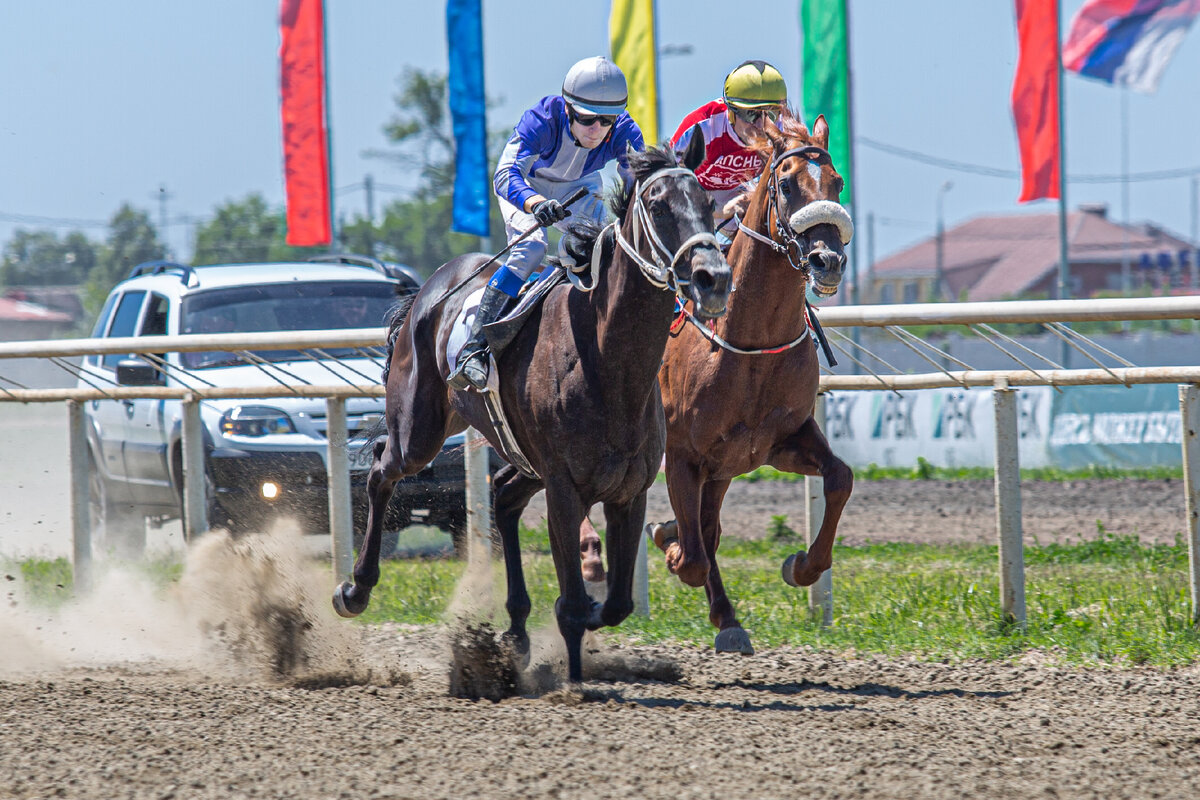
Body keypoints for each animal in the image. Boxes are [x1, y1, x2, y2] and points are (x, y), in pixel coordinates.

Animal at [331, 140, 729, 681]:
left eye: (708, 204)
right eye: (660, 206)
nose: (714, 278)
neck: (605, 361)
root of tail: (428, 291)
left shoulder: (628, 492)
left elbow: (616, 603)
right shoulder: (564, 489)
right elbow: (575, 603)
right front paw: (572, 679)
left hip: (519, 457)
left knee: (503, 497)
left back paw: (517, 629)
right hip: (419, 431)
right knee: (380, 469)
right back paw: (355, 588)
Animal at [648, 115, 854, 662]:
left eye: (837, 183)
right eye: (787, 184)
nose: (828, 261)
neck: (751, 342)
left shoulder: (776, 442)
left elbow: (840, 477)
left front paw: (801, 566)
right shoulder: (683, 452)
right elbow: (691, 554)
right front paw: (669, 544)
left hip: (722, 470)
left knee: (709, 527)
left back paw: (727, 618)